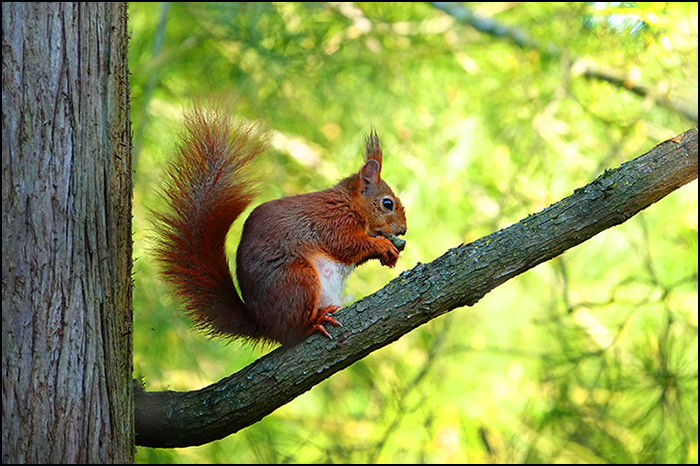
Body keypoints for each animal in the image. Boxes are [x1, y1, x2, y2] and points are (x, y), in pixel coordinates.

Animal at [152, 105, 407, 346]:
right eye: (387, 204)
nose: (403, 230)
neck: (349, 202)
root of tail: (265, 326)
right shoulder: (333, 221)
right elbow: (347, 245)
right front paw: (383, 246)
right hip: (297, 278)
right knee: (295, 329)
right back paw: (314, 322)